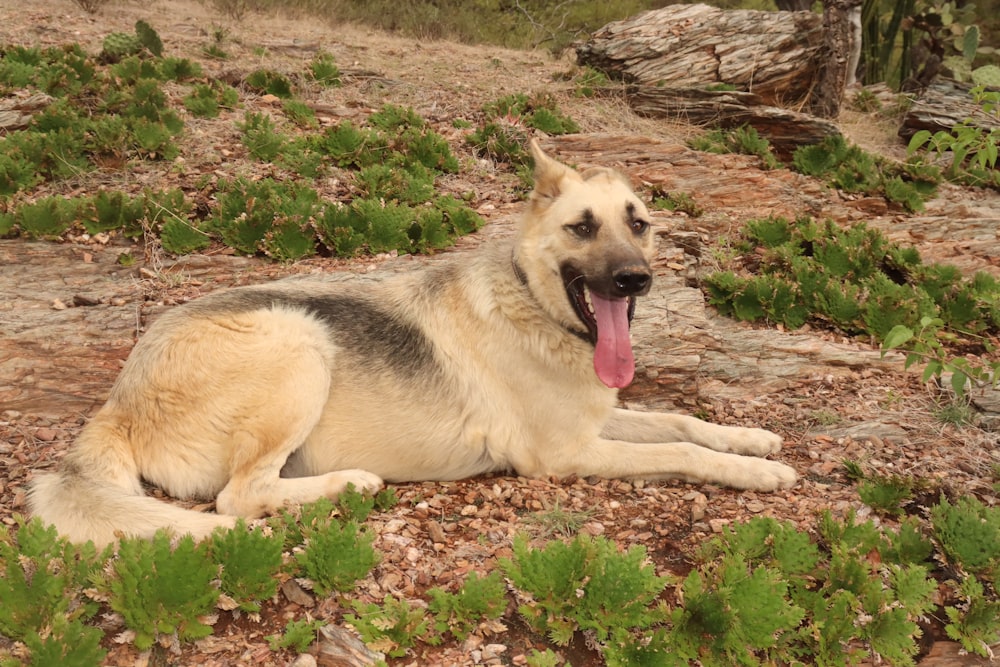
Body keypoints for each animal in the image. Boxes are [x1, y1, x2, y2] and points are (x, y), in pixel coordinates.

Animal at [29, 141, 796, 548]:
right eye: (582, 227)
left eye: (639, 224)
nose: (635, 277)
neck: (535, 305)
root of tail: (117, 400)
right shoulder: (565, 455)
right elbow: (683, 451)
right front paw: (758, 475)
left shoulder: (599, 420)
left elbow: (682, 420)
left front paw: (752, 439)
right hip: (300, 340)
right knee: (237, 499)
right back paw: (350, 483)